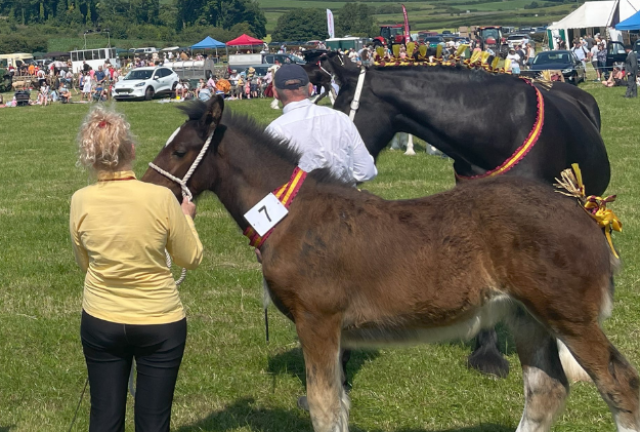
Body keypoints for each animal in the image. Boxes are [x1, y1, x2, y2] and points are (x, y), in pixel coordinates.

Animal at [142, 96, 639, 432]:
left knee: (619, 385)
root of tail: (585, 212)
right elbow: (337, 403)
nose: (148, 188)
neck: (288, 213)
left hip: (569, 317)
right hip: (526, 316)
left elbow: (324, 405)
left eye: (180, 152)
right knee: (546, 390)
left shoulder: (317, 320)